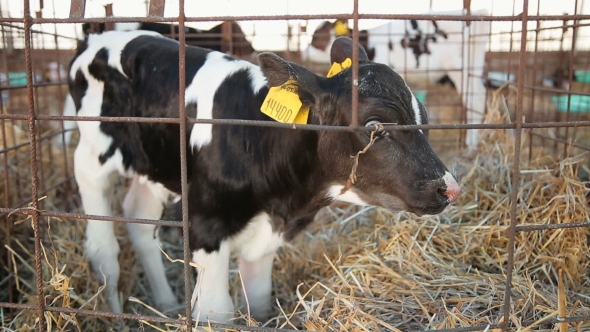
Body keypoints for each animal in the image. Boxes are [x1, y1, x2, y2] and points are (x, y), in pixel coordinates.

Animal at [66, 29, 462, 322]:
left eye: (424, 118)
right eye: (374, 126)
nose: (450, 188)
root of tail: (97, 37)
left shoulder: (267, 236)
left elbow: (258, 303)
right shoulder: (206, 224)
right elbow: (217, 312)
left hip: (155, 166)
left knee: (140, 219)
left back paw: (165, 305)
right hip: (91, 157)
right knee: (103, 249)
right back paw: (115, 314)